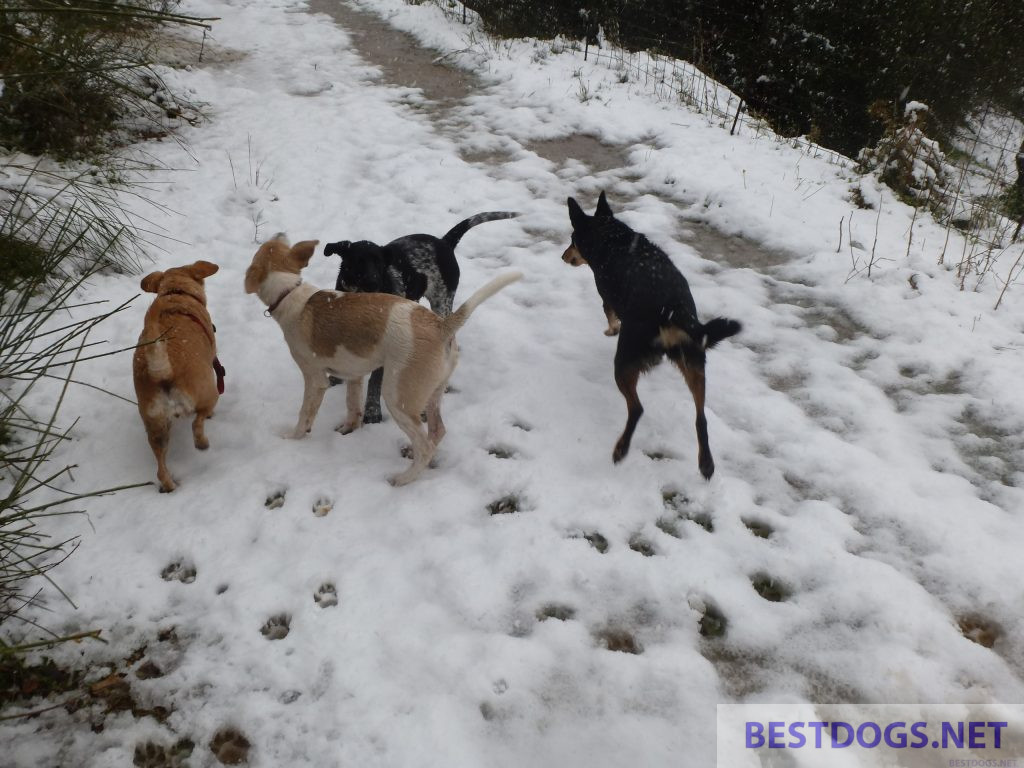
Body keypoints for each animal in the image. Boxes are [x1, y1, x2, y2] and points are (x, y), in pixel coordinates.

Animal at [245, 234, 520, 487]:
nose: (280, 234)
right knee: (437, 431)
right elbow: (352, 405)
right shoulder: (354, 373)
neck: (290, 292)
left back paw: (403, 478)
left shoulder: (314, 378)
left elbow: (305, 414)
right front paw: (348, 429)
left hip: (397, 396)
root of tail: (441, 325)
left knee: (425, 446)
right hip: (432, 392)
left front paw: (293, 438)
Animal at [321, 211, 520, 421]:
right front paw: (336, 378)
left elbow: (374, 381)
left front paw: (372, 412)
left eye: (380, 264)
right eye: (358, 261)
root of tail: (444, 242)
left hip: (442, 302)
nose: (373, 281)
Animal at [565, 192, 741, 479]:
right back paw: (706, 463)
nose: (563, 255)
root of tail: (672, 312)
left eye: (572, 240)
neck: (611, 236)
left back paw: (621, 449)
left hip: (624, 363)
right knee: (700, 418)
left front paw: (612, 328)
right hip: (694, 365)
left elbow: (608, 313)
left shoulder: (605, 295)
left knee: (637, 409)